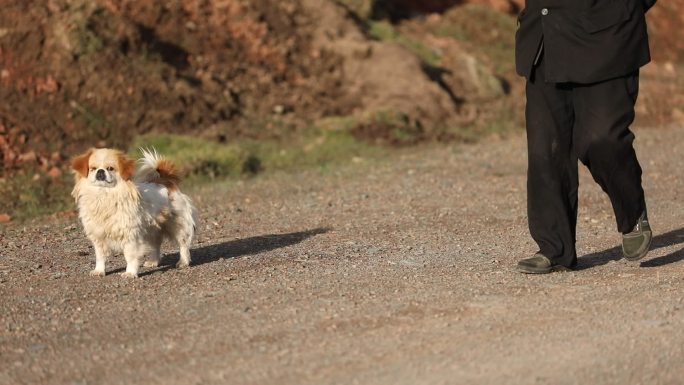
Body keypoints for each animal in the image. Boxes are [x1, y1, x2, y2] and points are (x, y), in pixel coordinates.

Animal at [71, 147, 196, 276]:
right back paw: (153, 262)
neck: (104, 195)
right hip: (152, 230)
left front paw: (130, 273)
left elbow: (130, 256)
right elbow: (100, 256)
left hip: (177, 225)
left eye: (110, 168)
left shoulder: (130, 235)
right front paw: (99, 271)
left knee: (183, 244)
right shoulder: (99, 236)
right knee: (156, 246)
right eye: (93, 169)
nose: (100, 171)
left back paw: (183, 262)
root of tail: (165, 181)